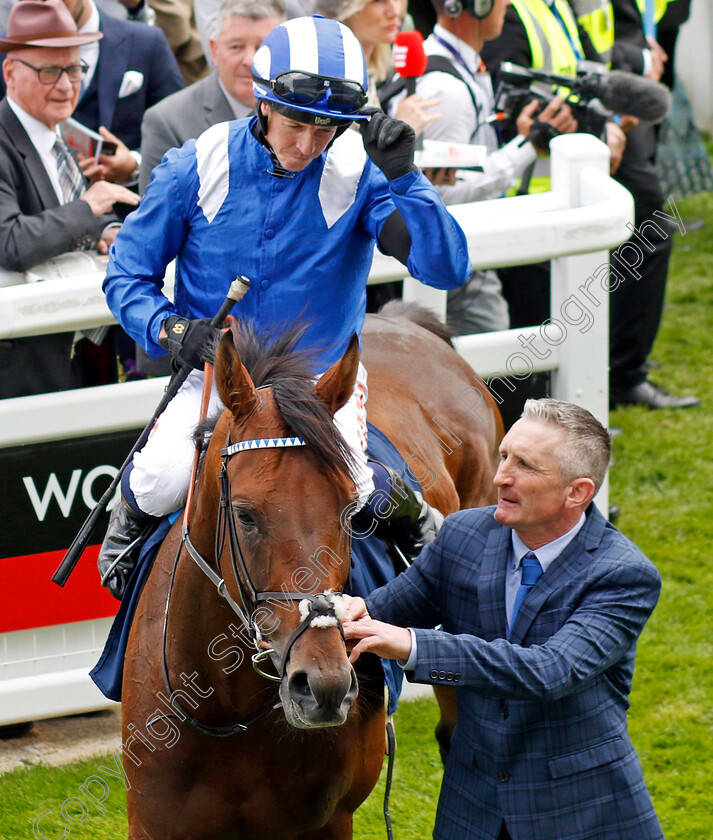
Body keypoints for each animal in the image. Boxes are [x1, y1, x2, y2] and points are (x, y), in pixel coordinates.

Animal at [122, 306, 500, 836]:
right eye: (245, 515)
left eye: (350, 510)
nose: (324, 685)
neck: (226, 709)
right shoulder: (155, 823)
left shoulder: (329, 820)